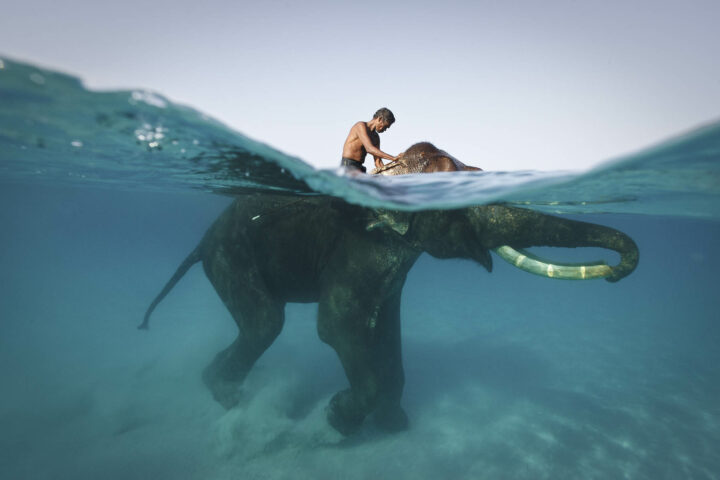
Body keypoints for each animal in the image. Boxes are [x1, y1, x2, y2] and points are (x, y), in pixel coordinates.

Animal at [139, 192, 636, 436]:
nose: (613, 272)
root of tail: (201, 242)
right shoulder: (359, 247)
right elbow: (337, 326)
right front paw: (338, 419)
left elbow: (385, 332)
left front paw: (393, 425)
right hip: (232, 256)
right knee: (265, 323)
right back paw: (226, 397)